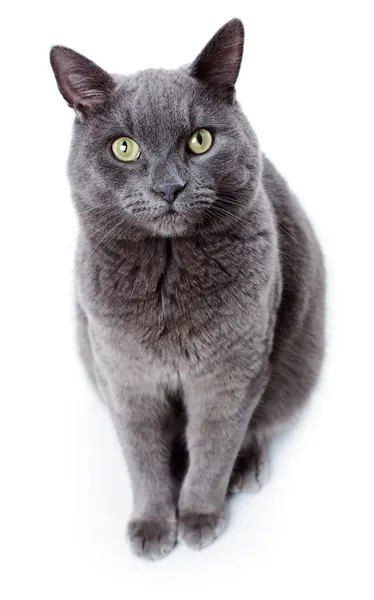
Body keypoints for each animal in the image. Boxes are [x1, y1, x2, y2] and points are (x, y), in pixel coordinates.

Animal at [51, 19, 326, 564]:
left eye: (200, 141)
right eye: (124, 147)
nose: (169, 188)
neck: (167, 272)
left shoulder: (230, 375)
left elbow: (214, 448)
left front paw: (199, 517)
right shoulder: (124, 378)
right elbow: (144, 459)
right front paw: (153, 525)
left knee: (258, 423)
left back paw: (246, 466)